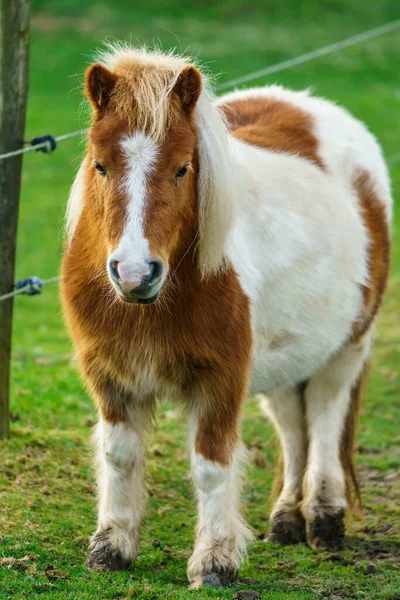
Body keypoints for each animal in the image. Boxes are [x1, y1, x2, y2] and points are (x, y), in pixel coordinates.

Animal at [61, 44, 392, 588]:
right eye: (100, 165)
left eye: (182, 168)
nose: (135, 273)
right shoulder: (113, 378)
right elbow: (119, 456)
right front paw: (110, 548)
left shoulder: (220, 380)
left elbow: (211, 466)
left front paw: (214, 562)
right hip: (286, 357)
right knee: (293, 427)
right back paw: (286, 521)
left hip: (347, 348)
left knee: (325, 417)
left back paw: (324, 519)